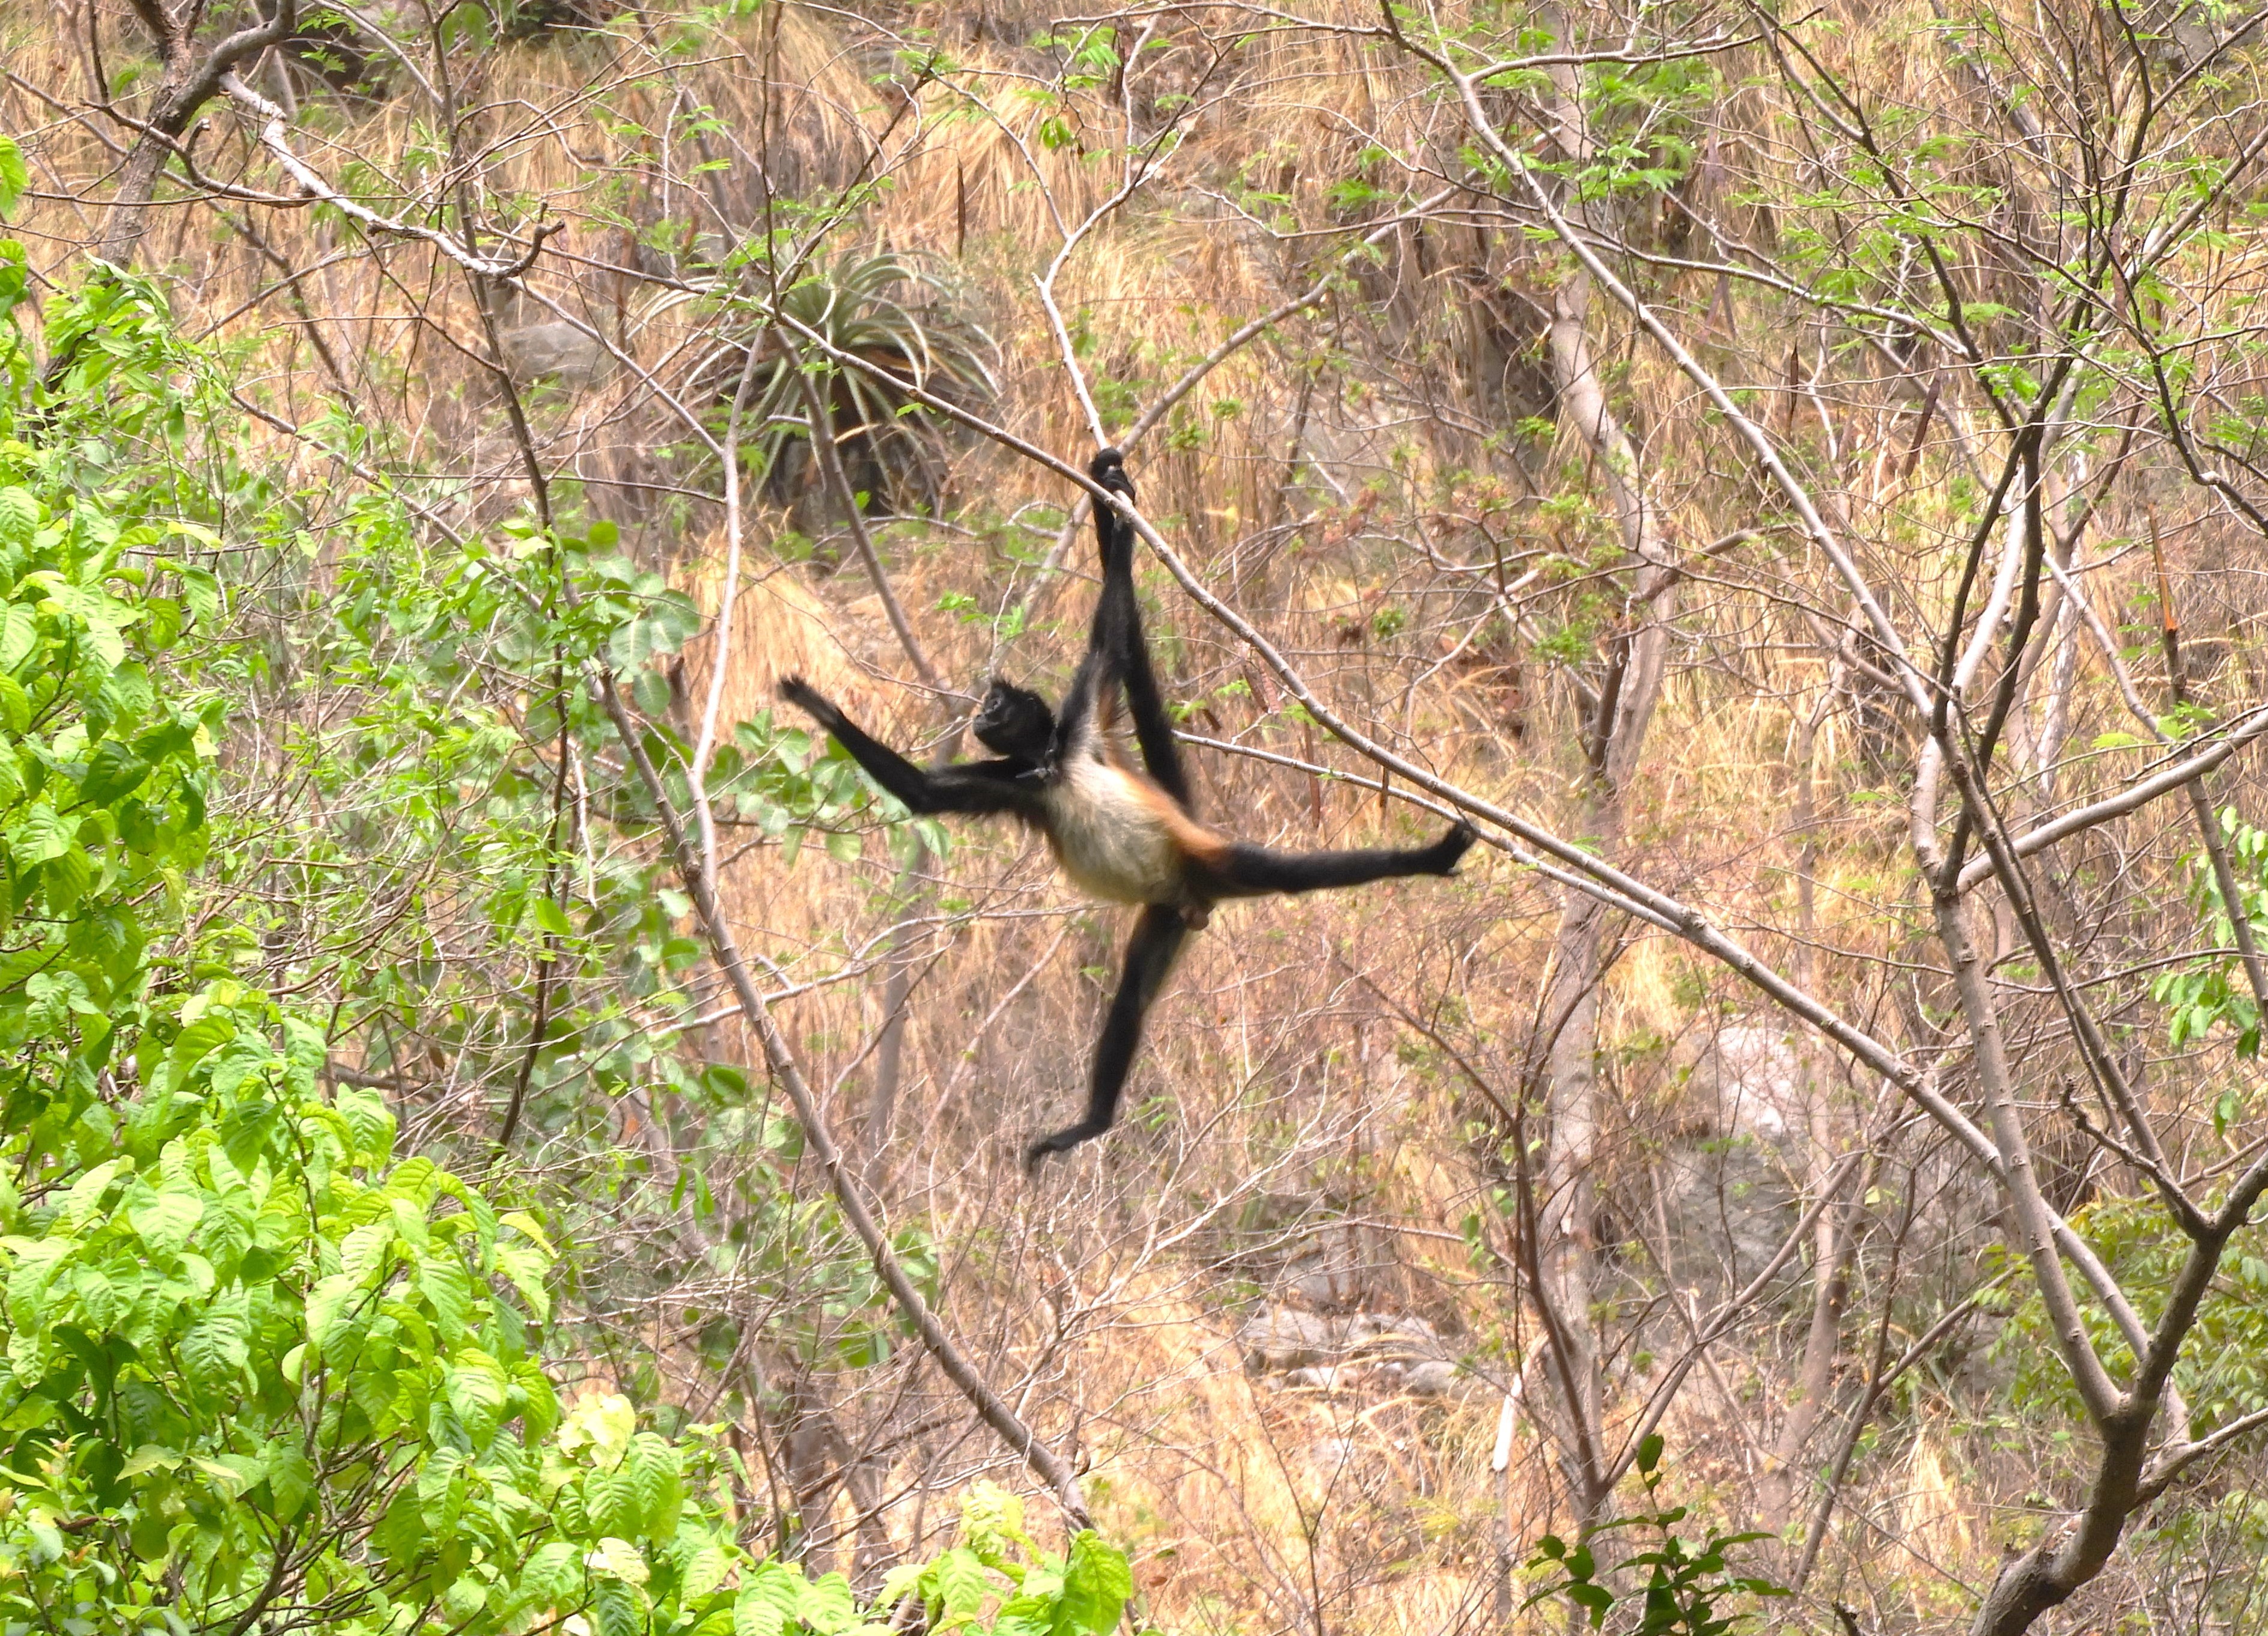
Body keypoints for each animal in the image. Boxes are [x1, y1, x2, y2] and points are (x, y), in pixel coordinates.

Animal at [780, 446, 1469, 1160]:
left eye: (996, 704)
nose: (979, 714)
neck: (1053, 762)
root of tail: (1191, 895)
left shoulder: (1082, 715)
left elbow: (1110, 632)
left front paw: (1119, 523)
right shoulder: (1015, 780)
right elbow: (921, 793)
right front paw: (820, 707)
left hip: (1205, 863)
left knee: (1286, 874)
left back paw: (1425, 858)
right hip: (1165, 914)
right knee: (1131, 1000)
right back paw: (1093, 1121)